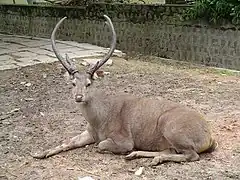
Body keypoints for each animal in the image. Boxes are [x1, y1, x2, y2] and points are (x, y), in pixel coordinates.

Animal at [31, 14, 218, 165]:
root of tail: (210, 137)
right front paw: (39, 153)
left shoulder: (124, 139)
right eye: (72, 83)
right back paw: (140, 156)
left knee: (191, 155)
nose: (78, 97)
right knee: (171, 150)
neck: (99, 121)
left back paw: (149, 157)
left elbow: (101, 145)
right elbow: (68, 142)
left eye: (89, 84)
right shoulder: (89, 132)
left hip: (171, 127)